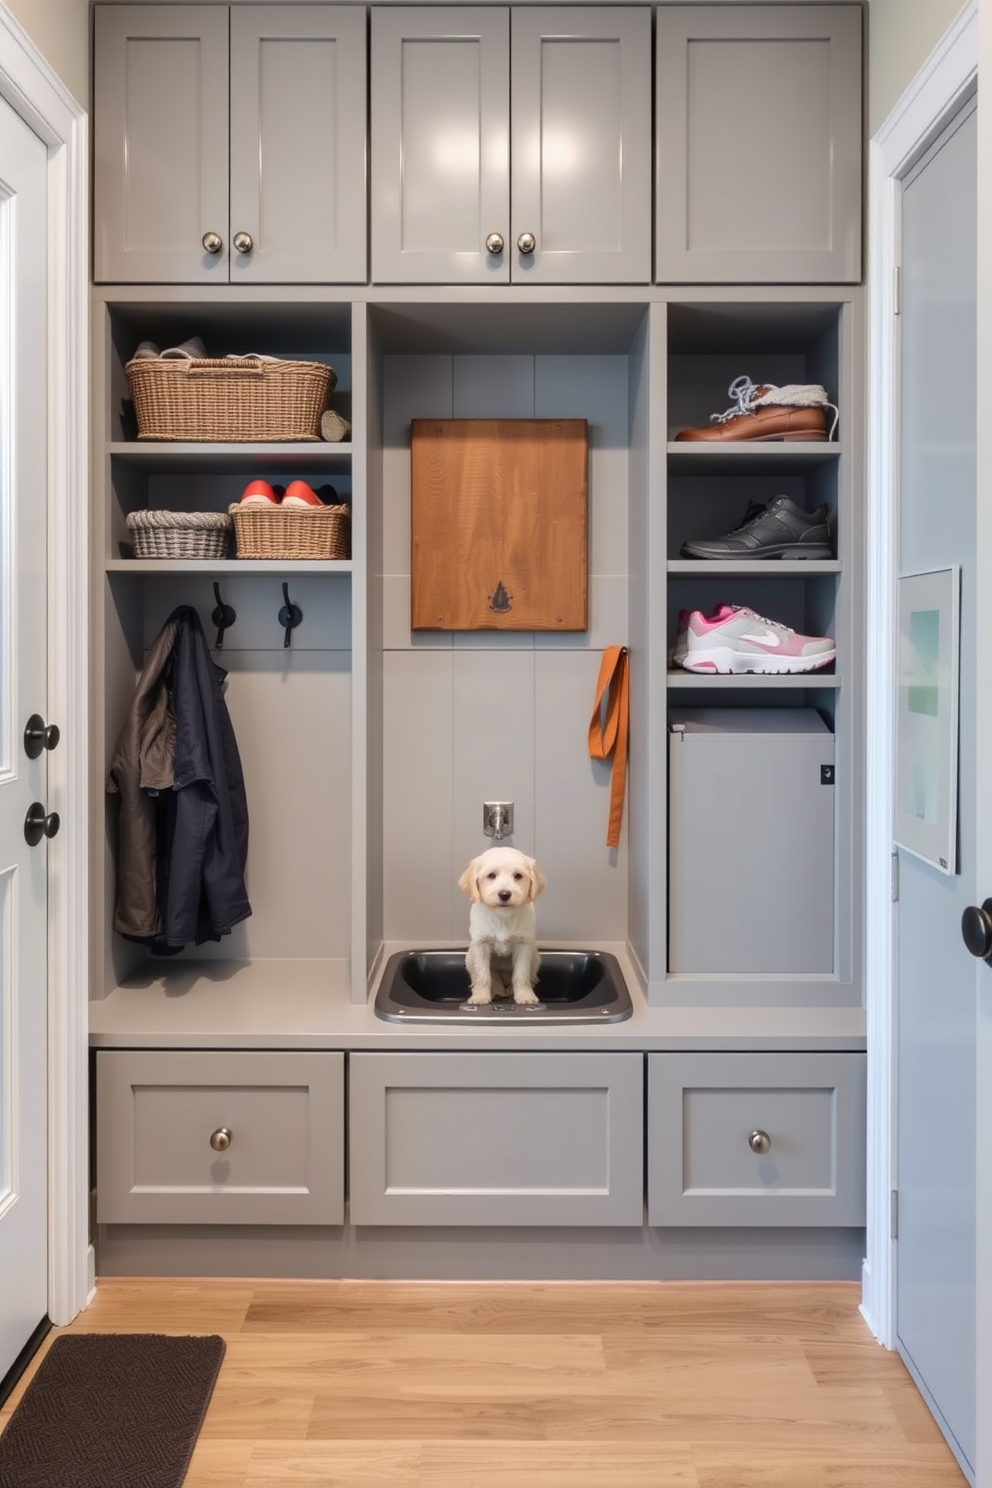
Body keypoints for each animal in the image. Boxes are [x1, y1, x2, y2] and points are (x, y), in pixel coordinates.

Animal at [455, 845, 547, 1005]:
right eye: (491, 875)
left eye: (518, 876)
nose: (504, 894)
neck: (502, 916)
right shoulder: (481, 945)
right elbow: (483, 976)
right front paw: (480, 997)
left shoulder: (523, 945)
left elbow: (521, 975)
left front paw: (524, 995)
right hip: (470, 957)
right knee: (488, 978)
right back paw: (495, 992)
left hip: (535, 957)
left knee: (528, 977)